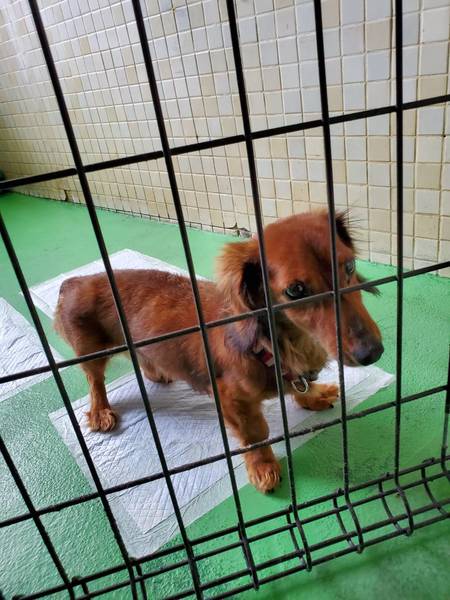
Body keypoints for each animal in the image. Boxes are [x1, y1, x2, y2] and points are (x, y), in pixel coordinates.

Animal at [54, 211, 383, 493]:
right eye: (295, 290)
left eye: (350, 265)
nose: (373, 352)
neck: (281, 346)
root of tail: (74, 281)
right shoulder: (231, 399)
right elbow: (256, 435)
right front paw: (263, 467)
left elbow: (298, 387)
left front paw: (311, 395)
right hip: (92, 353)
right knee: (95, 381)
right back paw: (100, 411)